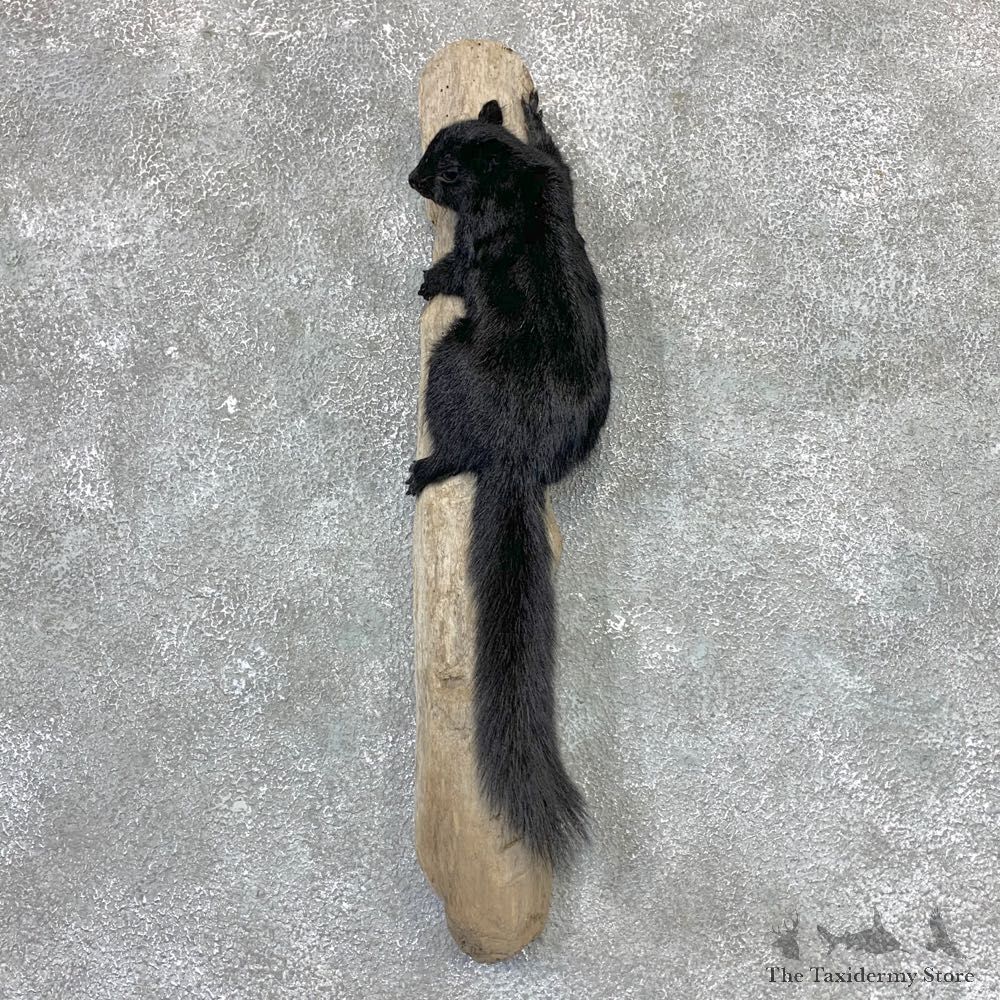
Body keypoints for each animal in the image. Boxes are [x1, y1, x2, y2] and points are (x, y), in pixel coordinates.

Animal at [406, 93, 611, 867]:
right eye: (435, 139)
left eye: (449, 171)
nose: (411, 178)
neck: (517, 178)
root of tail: (521, 458)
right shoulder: (560, 173)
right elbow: (559, 149)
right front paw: (531, 107)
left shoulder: (480, 241)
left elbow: (460, 270)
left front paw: (430, 278)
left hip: (448, 366)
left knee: (460, 450)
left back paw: (428, 467)